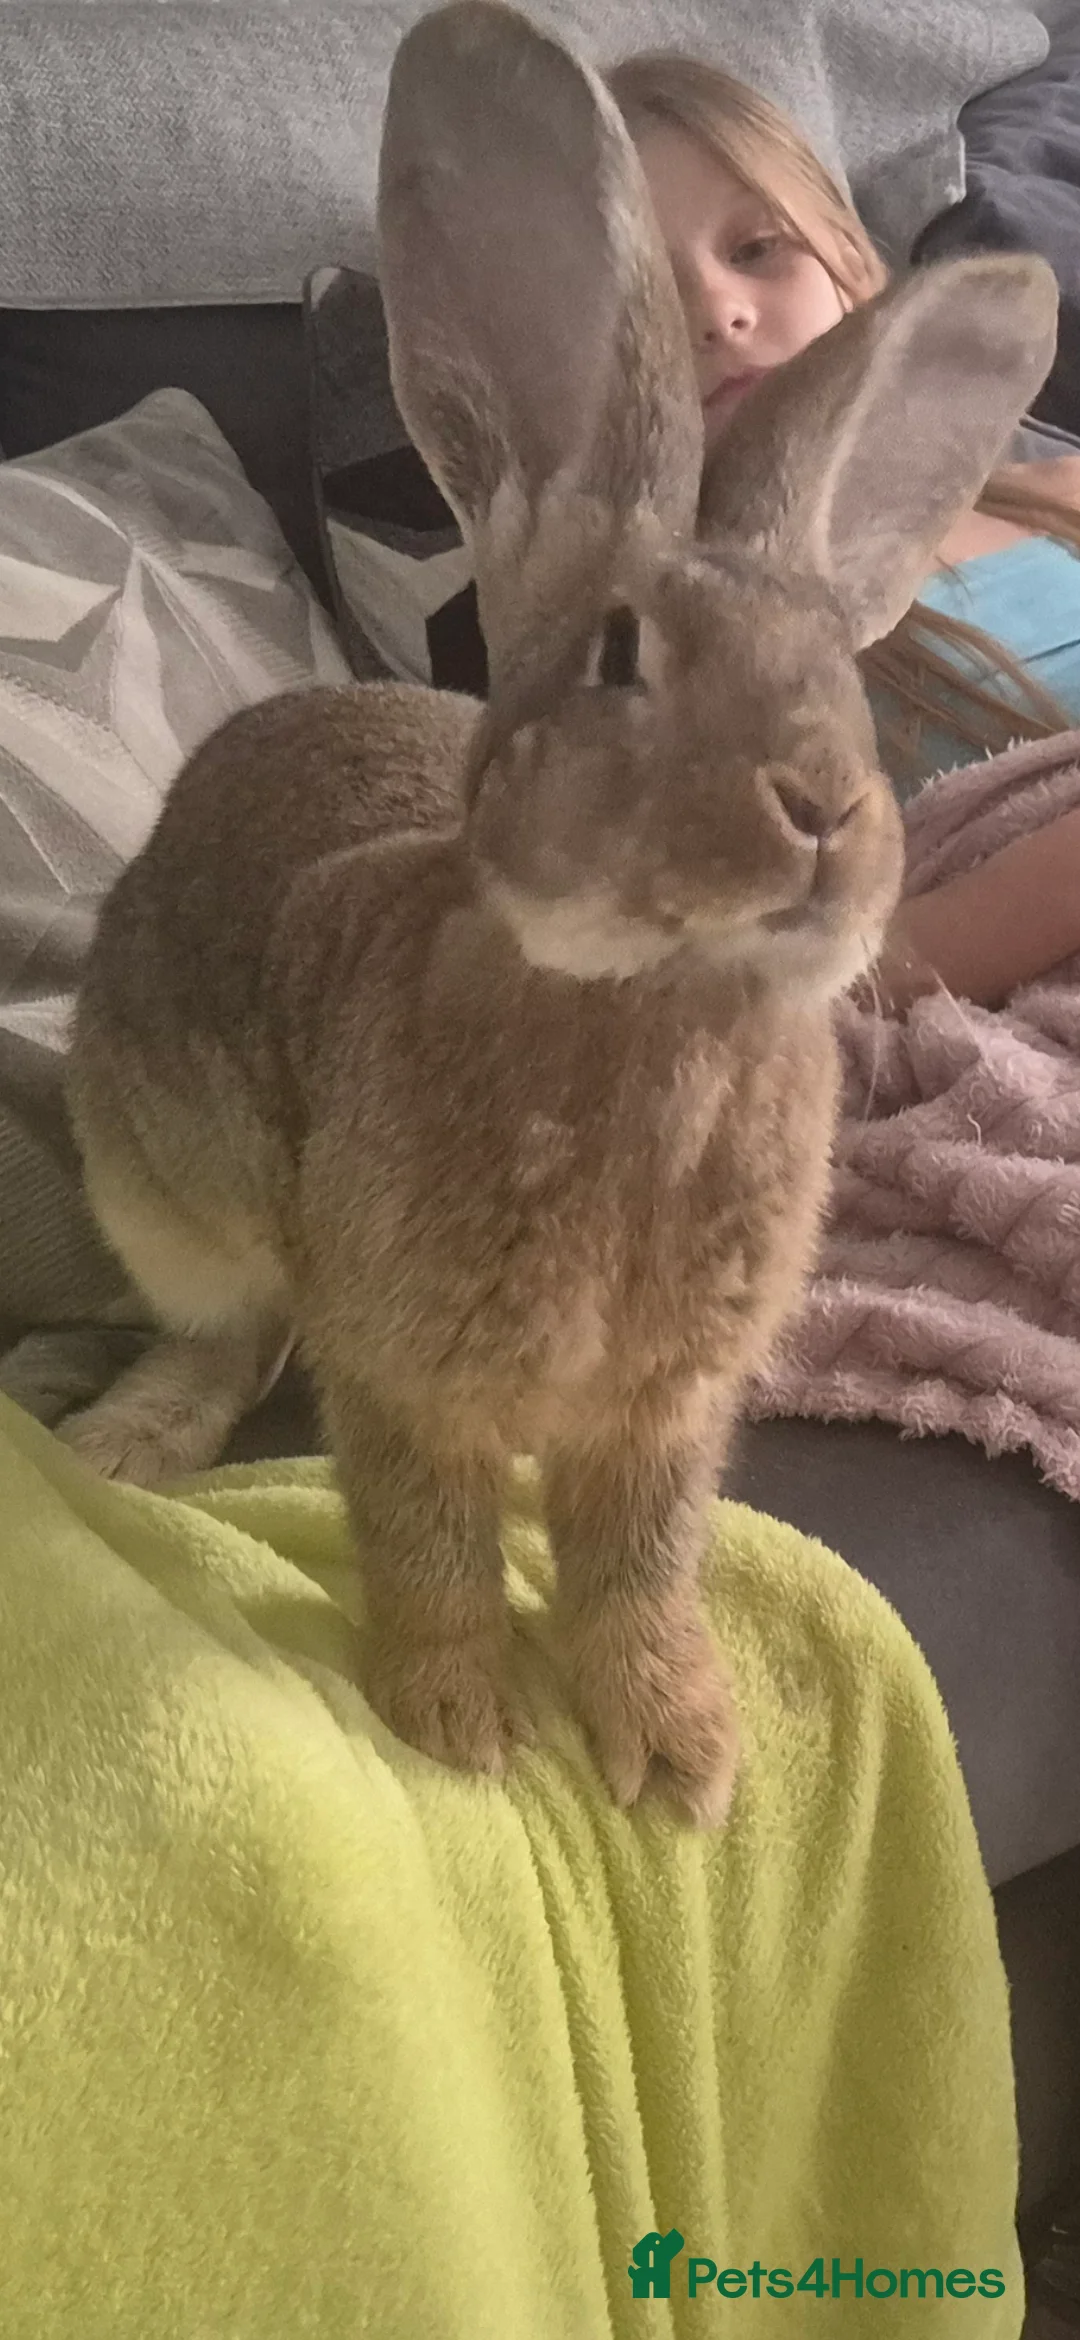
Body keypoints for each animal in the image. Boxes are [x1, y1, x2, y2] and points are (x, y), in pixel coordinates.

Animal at [59, 0, 1058, 1826]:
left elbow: (638, 1574)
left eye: (837, 675)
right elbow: (429, 1546)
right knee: (228, 1338)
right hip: (160, 1188)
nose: (826, 809)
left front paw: (681, 1760)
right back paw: (124, 1442)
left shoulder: (663, 1417)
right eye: (620, 656)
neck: (657, 1012)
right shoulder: (401, 1373)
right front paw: (459, 1726)